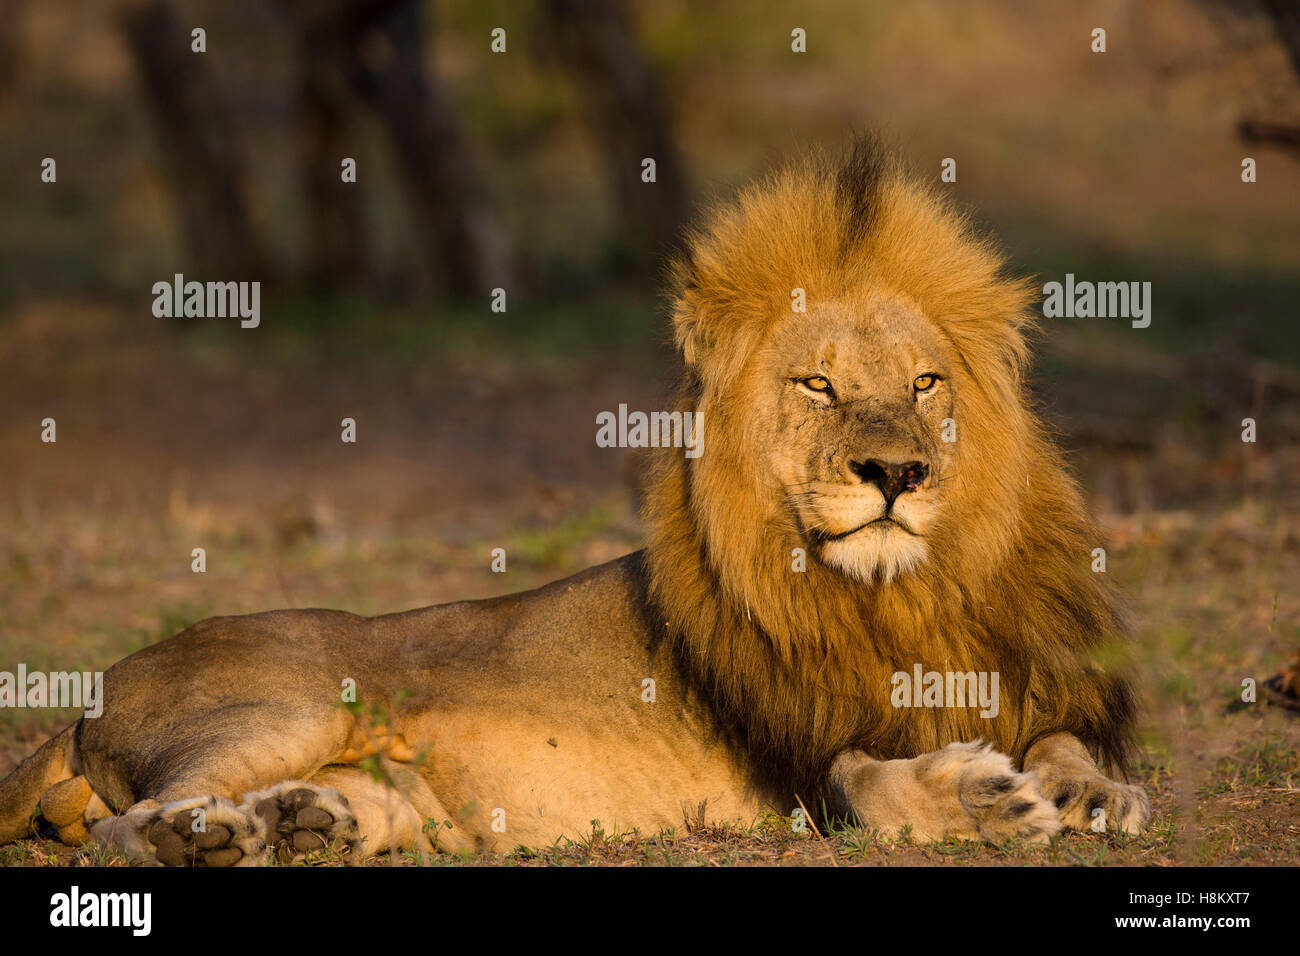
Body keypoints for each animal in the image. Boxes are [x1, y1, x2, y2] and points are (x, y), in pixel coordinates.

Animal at [0, 136, 1149, 868]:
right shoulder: (790, 755)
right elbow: (871, 784)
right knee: (120, 826)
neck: (898, 595)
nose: (896, 475)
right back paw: (204, 835)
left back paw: (301, 822)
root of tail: (94, 688)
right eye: (817, 385)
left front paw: (1095, 789)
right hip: (292, 701)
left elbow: (1061, 737)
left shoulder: (1026, 682)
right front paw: (986, 798)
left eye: (925, 384)